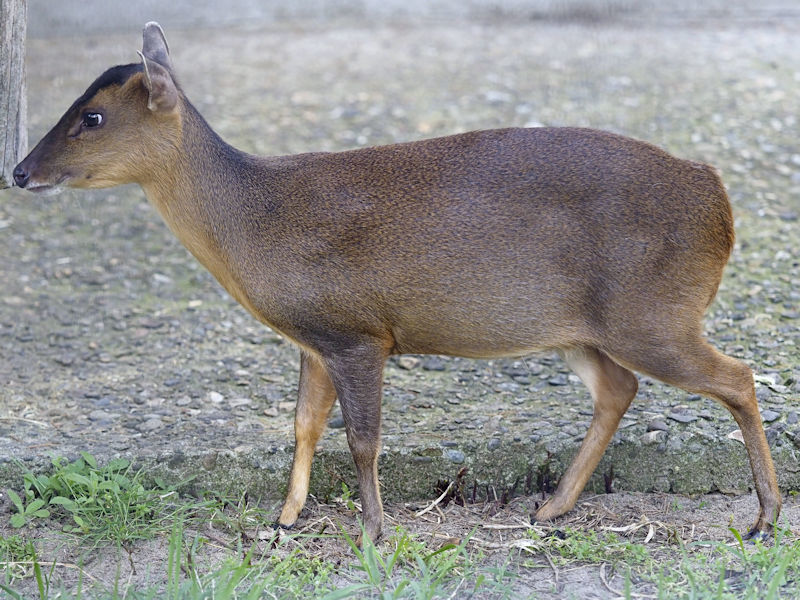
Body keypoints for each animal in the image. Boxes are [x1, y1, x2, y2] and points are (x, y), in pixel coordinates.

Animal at [10, 22, 780, 544]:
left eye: (92, 116)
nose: (18, 171)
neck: (255, 222)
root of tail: (719, 199)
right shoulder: (314, 339)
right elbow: (302, 425)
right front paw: (285, 516)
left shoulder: (358, 332)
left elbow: (362, 439)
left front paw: (374, 531)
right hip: (586, 327)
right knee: (620, 388)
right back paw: (553, 506)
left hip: (653, 312)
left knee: (737, 376)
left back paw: (764, 515)